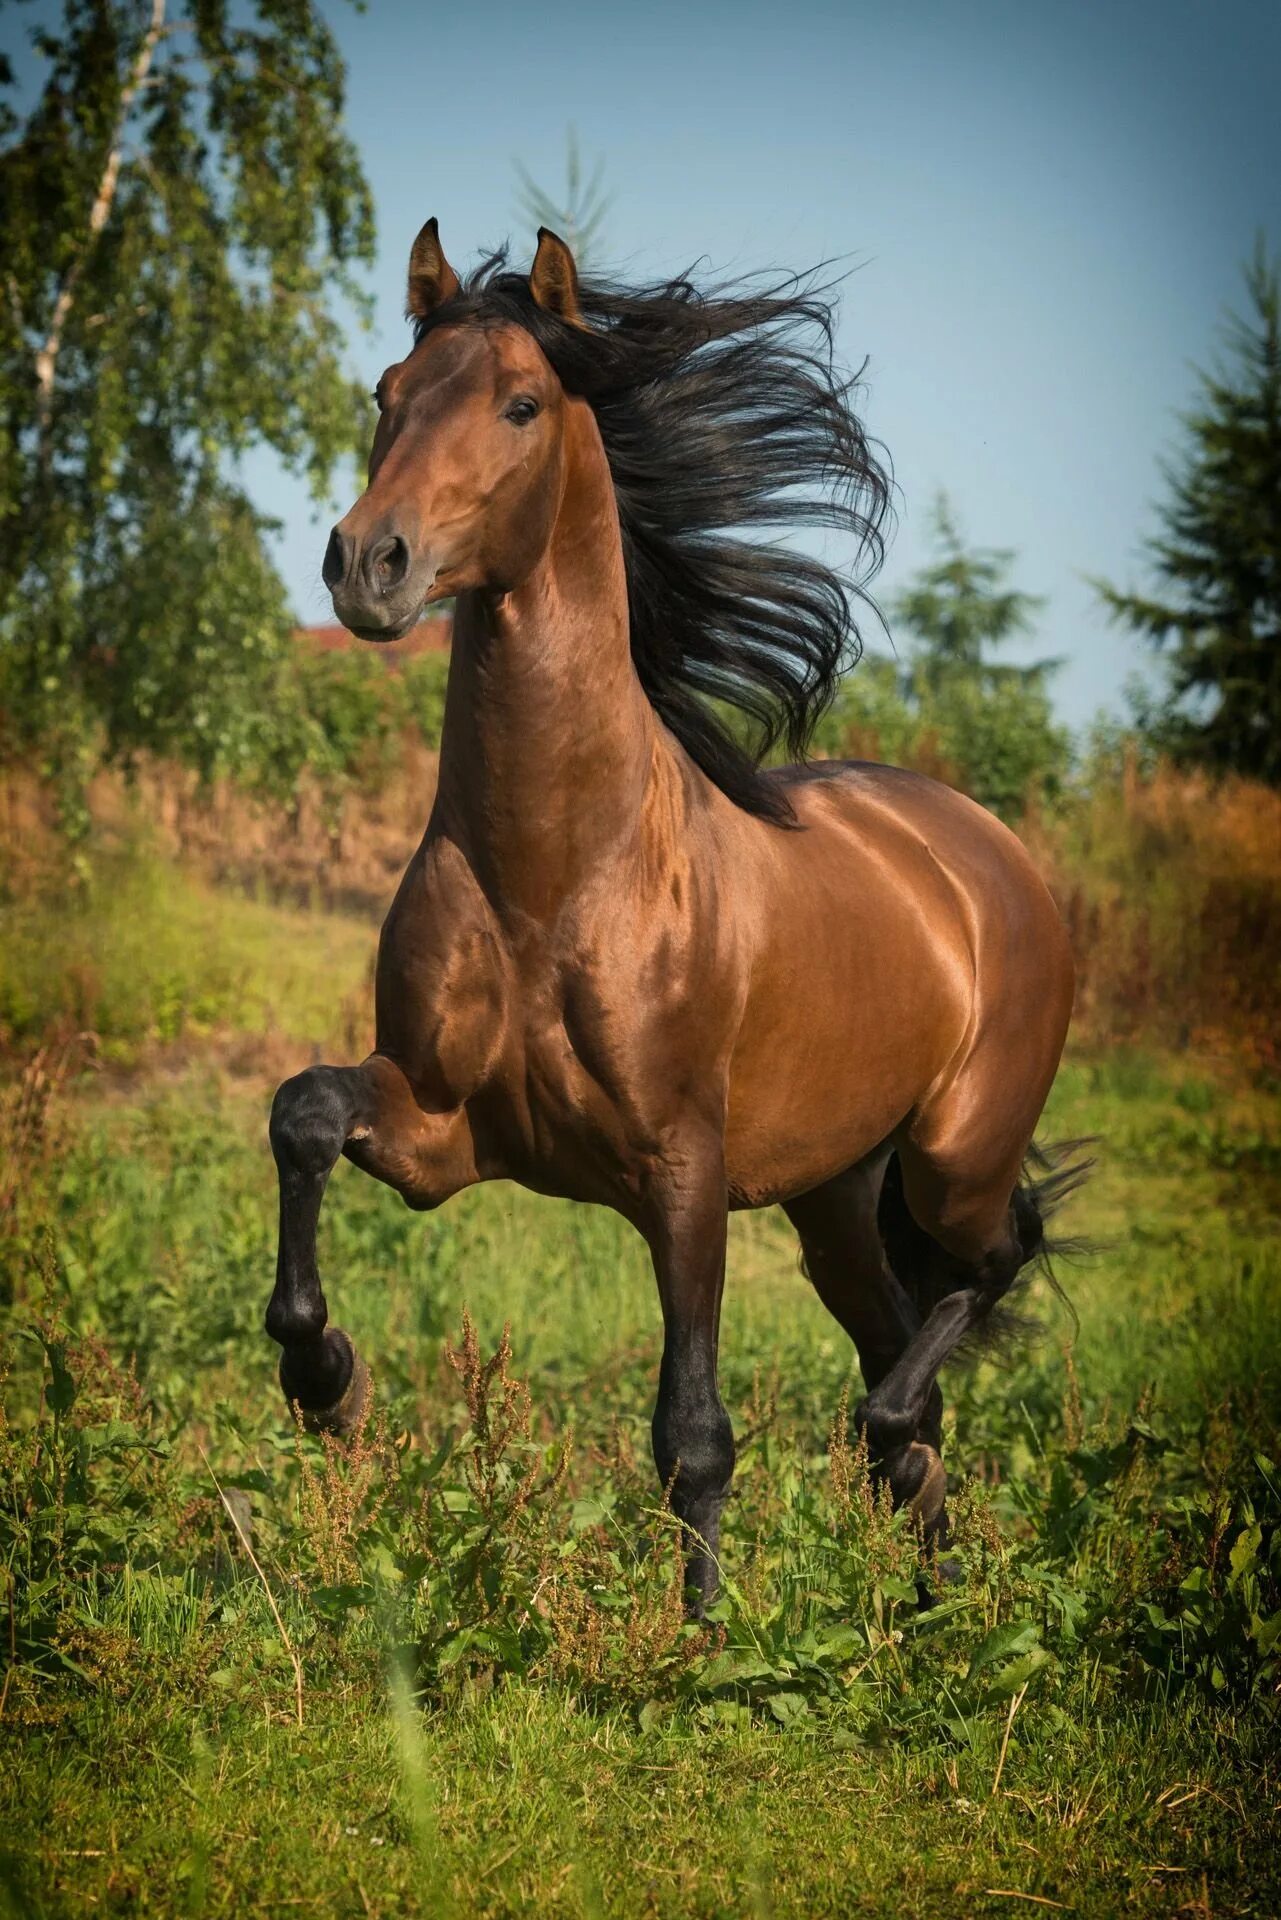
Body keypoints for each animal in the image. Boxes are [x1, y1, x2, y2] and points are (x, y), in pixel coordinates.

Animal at [268, 220, 1083, 1605]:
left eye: (521, 404)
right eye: (387, 392)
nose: (367, 565)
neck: (556, 878)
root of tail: (988, 856)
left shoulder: (683, 1172)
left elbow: (693, 1433)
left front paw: (699, 1637)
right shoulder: (442, 1127)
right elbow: (306, 1113)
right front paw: (327, 1380)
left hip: (953, 1155)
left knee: (985, 1270)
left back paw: (909, 1503)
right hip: (835, 1200)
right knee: (902, 1357)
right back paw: (923, 1591)